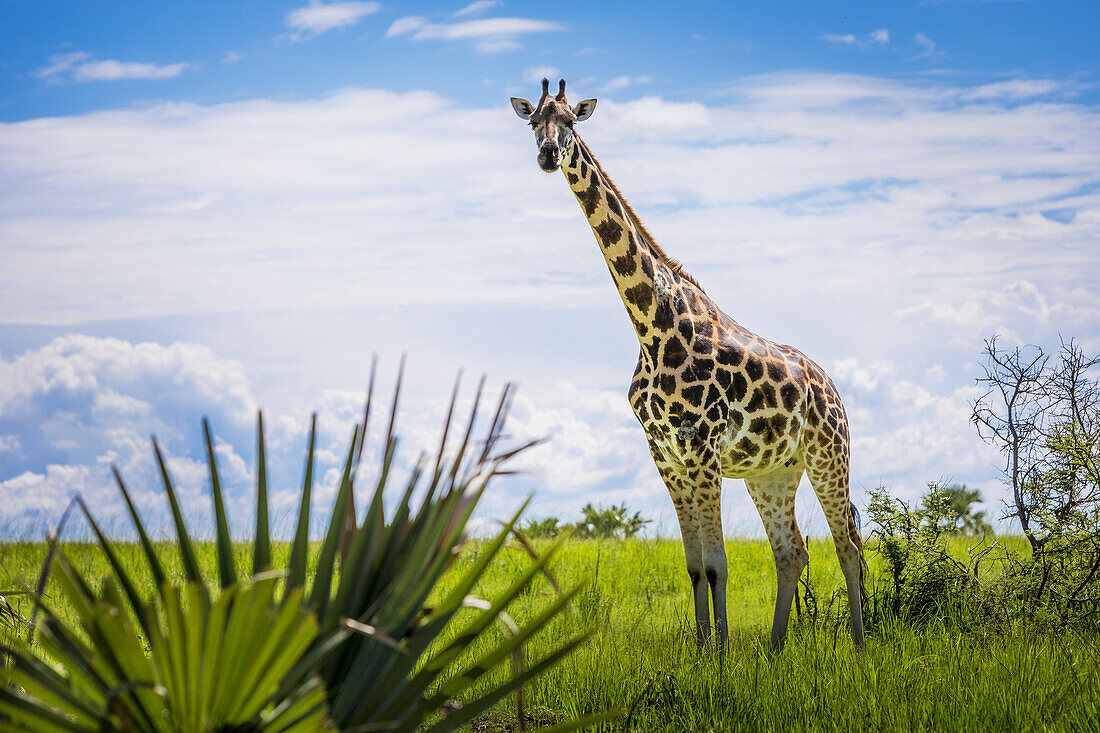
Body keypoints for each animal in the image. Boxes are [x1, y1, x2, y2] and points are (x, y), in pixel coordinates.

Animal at [510, 81, 862, 651]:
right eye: (533, 121)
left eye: (572, 122)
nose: (546, 156)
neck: (651, 327)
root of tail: (832, 387)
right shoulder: (666, 456)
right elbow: (695, 565)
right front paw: (702, 651)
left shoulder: (701, 449)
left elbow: (718, 563)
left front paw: (720, 654)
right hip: (774, 472)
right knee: (792, 551)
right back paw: (774, 651)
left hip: (829, 454)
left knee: (847, 543)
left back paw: (858, 647)